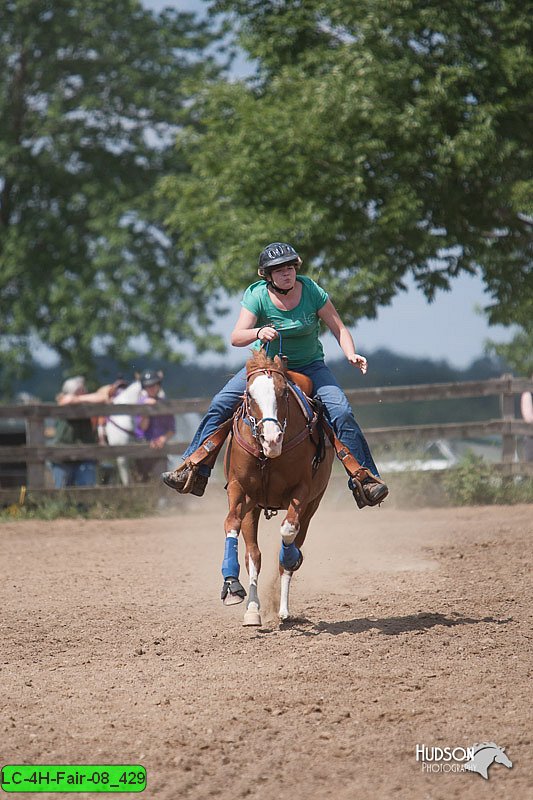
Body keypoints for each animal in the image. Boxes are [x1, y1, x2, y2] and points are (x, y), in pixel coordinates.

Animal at [221, 350, 332, 624]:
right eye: (249, 394)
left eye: (283, 392)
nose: (272, 439)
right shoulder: (239, 490)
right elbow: (233, 526)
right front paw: (232, 587)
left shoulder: (302, 491)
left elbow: (288, 529)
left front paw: (290, 558)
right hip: (253, 508)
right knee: (253, 555)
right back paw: (252, 608)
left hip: (313, 504)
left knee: (293, 542)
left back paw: (283, 607)